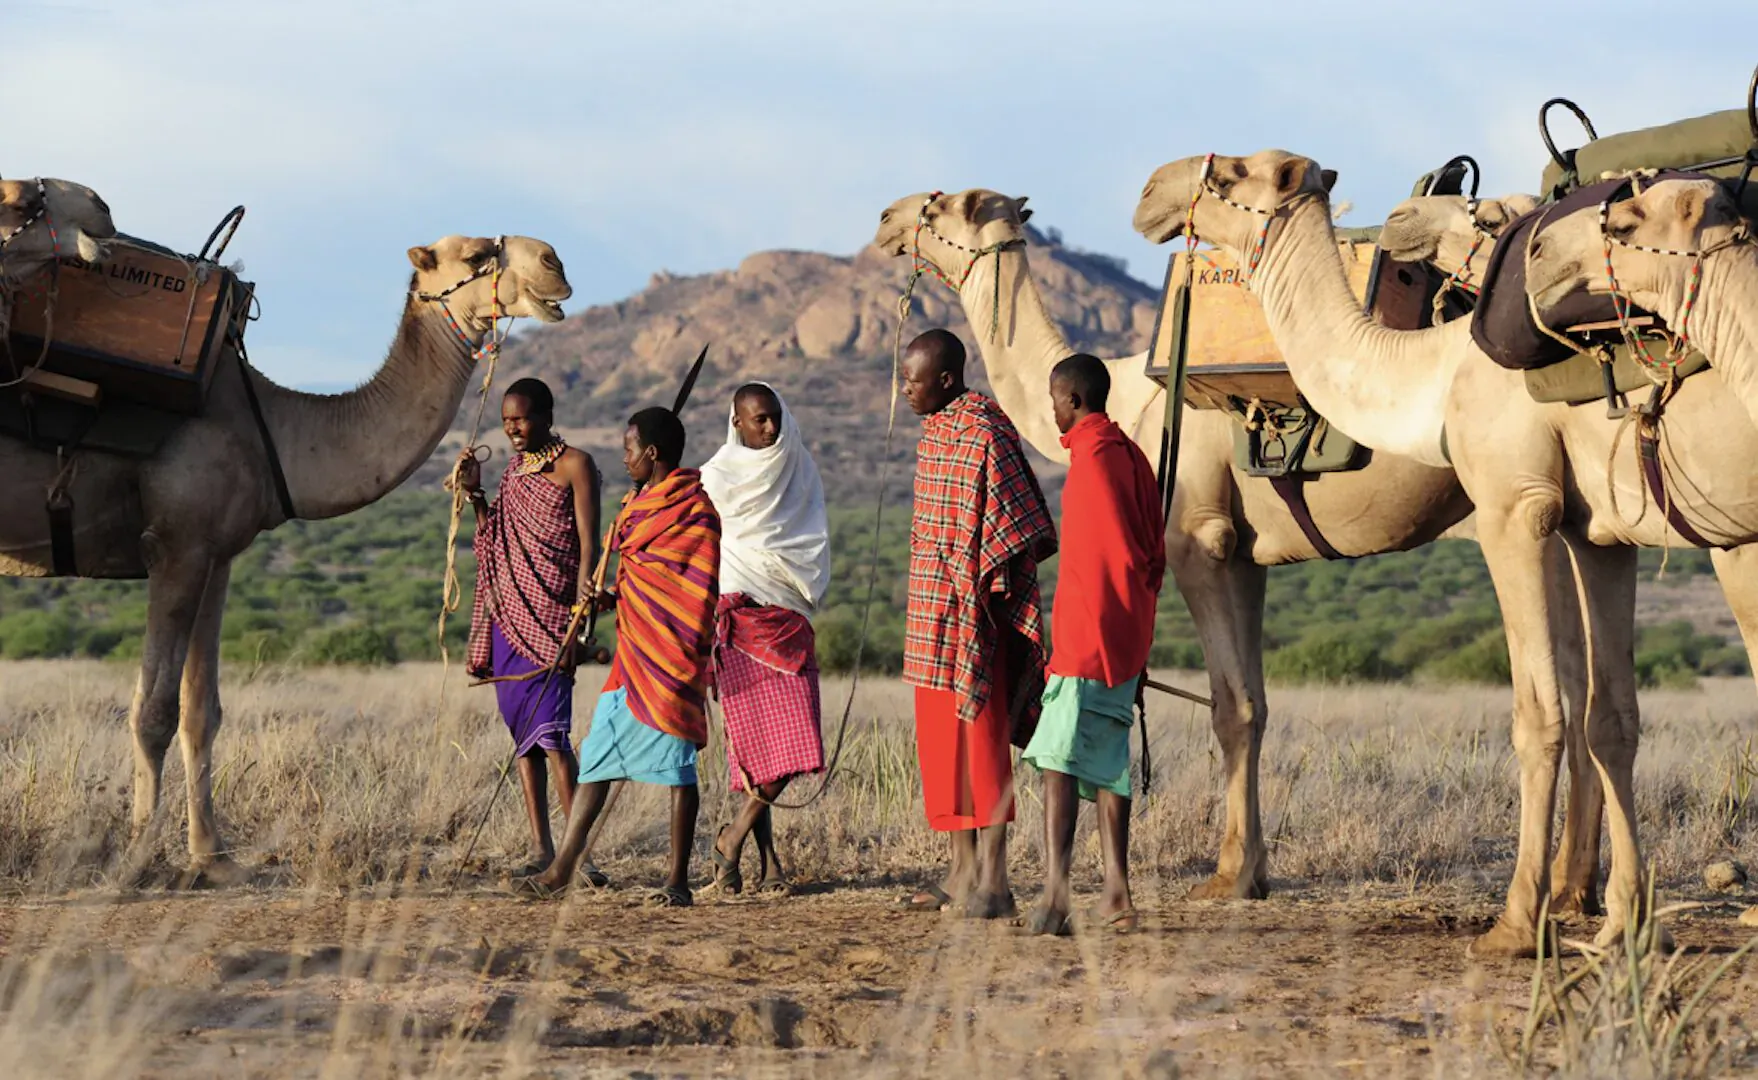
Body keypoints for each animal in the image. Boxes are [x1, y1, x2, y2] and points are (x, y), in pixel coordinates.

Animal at [0, 233, 572, 878]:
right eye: (476, 255)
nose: (554, 264)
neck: (271, 427)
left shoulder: (215, 555)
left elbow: (201, 711)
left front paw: (215, 858)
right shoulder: (176, 544)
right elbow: (154, 710)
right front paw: (141, 858)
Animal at [873, 189, 1476, 900]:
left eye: (943, 206)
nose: (886, 219)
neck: (1132, 399)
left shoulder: (1198, 540)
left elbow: (1230, 707)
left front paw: (1228, 877)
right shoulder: (1246, 555)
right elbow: (1257, 703)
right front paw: (1255, 871)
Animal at [1133, 150, 1758, 955]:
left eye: (1234, 172)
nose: (1151, 190)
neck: (1438, 368)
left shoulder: (1513, 505)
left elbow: (1538, 716)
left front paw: (1518, 921)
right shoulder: (1596, 529)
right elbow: (1609, 719)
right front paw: (1624, 921)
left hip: (1735, 537)